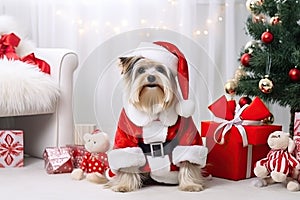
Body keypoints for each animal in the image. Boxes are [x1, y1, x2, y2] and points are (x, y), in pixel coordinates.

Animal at [106, 41, 207, 192]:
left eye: (160, 69)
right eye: (141, 70)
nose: (151, 77)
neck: (152, 104)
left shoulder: (187, 129)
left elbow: (187, 161)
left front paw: (190, 184)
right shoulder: (125, 134)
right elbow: (128, 161)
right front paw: (124, 185)